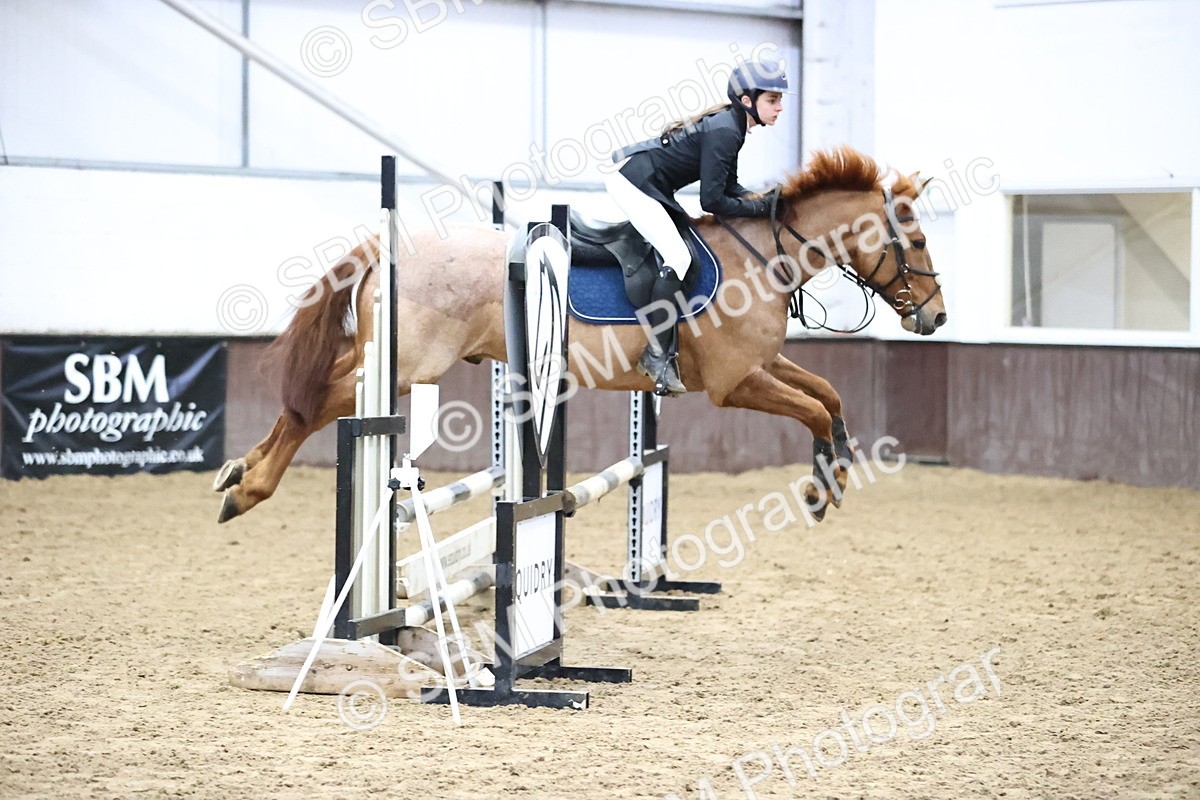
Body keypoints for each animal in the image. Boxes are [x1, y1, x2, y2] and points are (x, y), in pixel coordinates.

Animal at [212, 146, 946, 524]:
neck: (762, 255)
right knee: (315, 405)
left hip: (389, 362)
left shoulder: (760, 368)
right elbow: (815, 409)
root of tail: (395, 250)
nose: (935, 317)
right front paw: (822, 490)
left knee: (311, 398)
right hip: (404, 367)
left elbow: (829, 397)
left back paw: (238, 471)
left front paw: (834, 475)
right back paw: (249, 488)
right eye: (915, 241)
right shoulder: (734, 384)